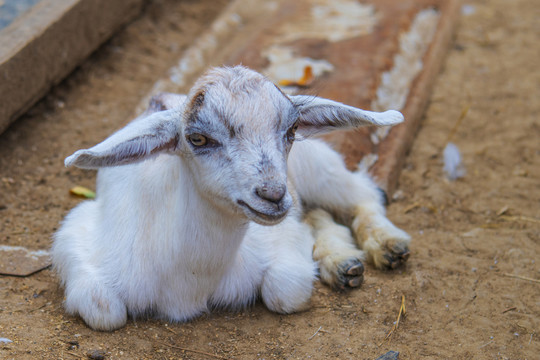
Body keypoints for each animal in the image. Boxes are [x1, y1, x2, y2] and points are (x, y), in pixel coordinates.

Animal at [52, 66, 412, 330]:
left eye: (292, 130)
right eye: (198, 139)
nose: (273, 195)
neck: (192, 281)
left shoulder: (280, 240)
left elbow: (286, 292)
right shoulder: (79, 237)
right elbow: (105, 312)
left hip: (317, 167)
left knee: (361, 195)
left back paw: (387, 246)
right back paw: (343, 264)